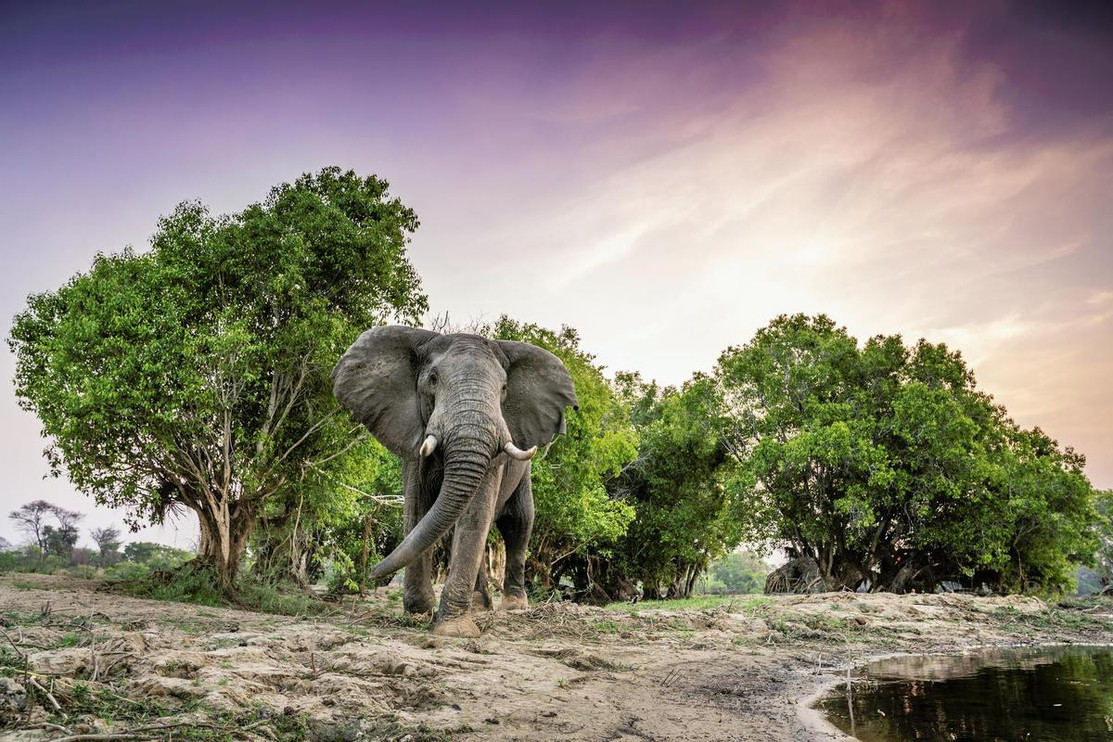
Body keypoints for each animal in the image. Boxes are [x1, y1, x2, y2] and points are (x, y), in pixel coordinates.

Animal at [332, 326, 577, 637]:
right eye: (433, 380)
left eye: (504, 388)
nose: (372, 570)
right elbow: (418, 508)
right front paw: (420, 612)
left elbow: (475, 514)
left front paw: (454, 630)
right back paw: (479, 606)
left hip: (523, 470)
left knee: (518, 521)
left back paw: (513, 605)